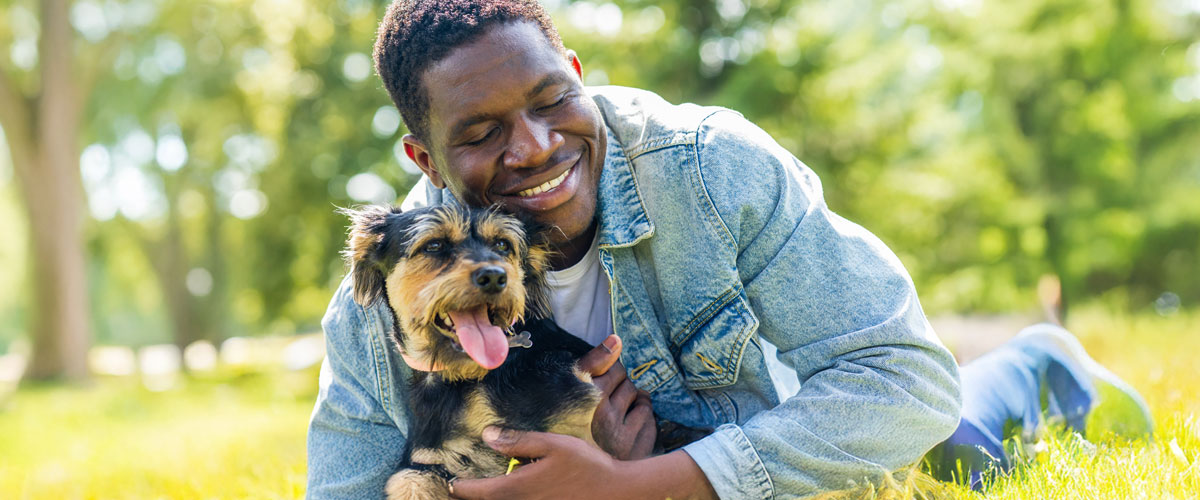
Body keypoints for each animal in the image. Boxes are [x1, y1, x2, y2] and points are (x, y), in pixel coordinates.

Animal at [343, 203, 604, 498]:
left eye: (502, 245)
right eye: (434, 245)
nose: (494, 276)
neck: (467, 377)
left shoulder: (574, 418)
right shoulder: (426, 461)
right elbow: (407, 480)